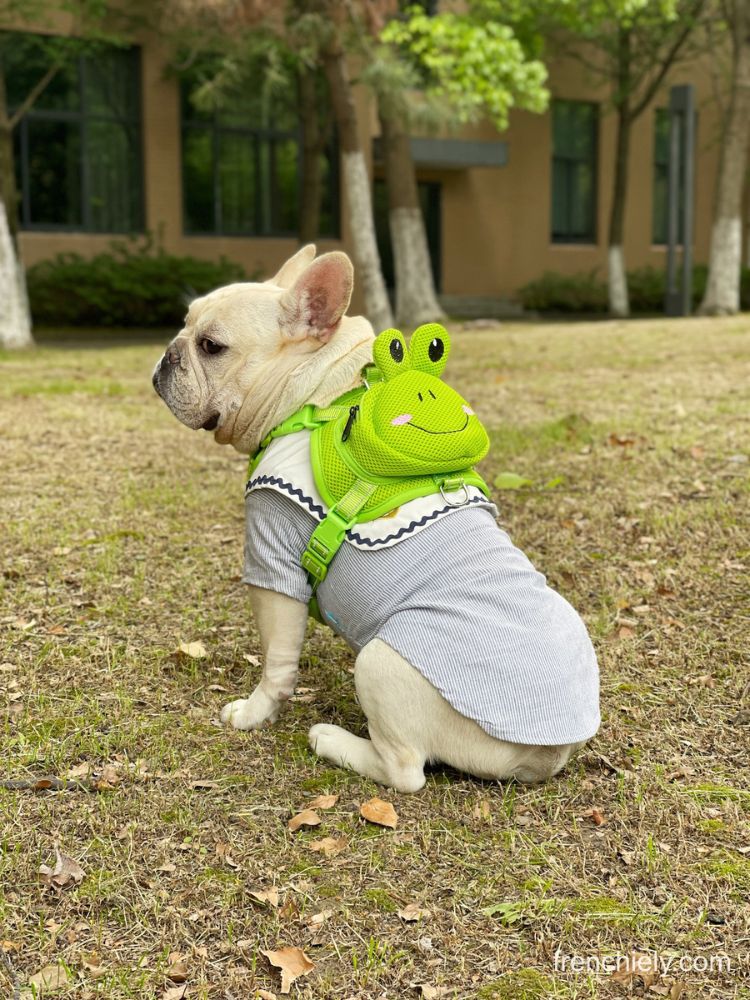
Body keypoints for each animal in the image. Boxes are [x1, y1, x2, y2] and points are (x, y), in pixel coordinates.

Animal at [156, 244, 596, 788]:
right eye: (184, 324)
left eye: (211, 346)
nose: (167, 355)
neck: (313, 396)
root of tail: (548, 753)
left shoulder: (272, 560)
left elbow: (277, 663)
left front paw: (254, 715)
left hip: (380, 662)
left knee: (405, 770)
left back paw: (332, 741)